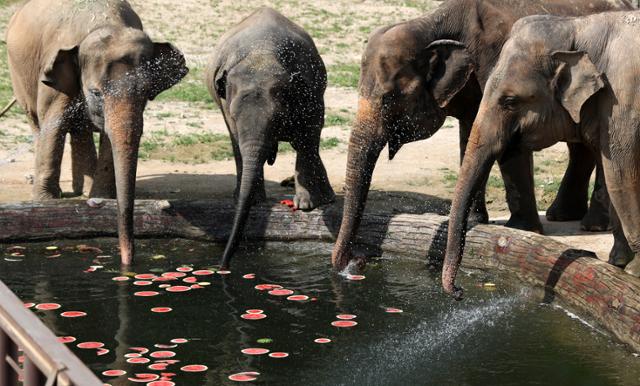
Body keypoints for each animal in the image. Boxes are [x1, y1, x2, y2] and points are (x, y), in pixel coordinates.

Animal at [6, 0, 188, 266]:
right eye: (96, 93)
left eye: (146, 93)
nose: (127, 260)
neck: (107, 24)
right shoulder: (55, 72)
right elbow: (54, 123)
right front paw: (44, 203)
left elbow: (108, 138)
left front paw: (103, 198)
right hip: (18, 75)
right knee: (38, 123)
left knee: (80, 130)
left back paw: (85, 191)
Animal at [206, 7, 338, 270]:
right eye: (234, 116)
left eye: (277, 117)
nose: (222, 266)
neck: (262, 54)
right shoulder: (225, 104)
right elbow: (237, 139)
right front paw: (253, 200)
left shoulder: (310, 89)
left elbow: (308, 135)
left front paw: (307, 204)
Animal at [332, 0, 632, 272]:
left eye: (389, 98)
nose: (356, 261)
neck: (433, 23)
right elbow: (468, 137)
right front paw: (477, 222)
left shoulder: (498, 71)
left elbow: (510, 147)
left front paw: (521, 229)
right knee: (582, 146)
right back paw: (563, 216)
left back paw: (592, 224)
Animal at [444, 9, 640, 298]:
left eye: (510, 101)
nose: (458, 292)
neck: (577, 28)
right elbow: (611, 171)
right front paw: (618, 263)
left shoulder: (623, 102)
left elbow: (623, 176)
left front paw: (634, 271)